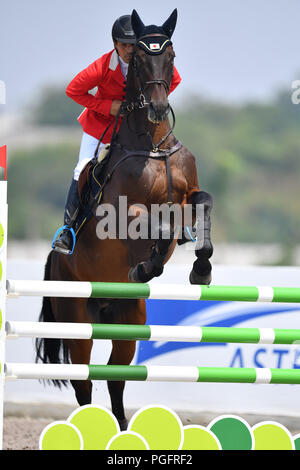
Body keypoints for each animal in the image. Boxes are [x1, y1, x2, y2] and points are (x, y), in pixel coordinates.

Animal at [35, 9, 213, 432]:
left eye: (170, 55)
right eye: (138, 58)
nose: (158, 109)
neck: (153, 145)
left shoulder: (190, 195)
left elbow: (203, 206)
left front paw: (201, 269)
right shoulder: (120, 216)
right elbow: (157, 226)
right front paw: (145, 266)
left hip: (127, 322)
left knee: (116, 378)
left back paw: (122, 430)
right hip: (77, 321)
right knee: (83, 381)